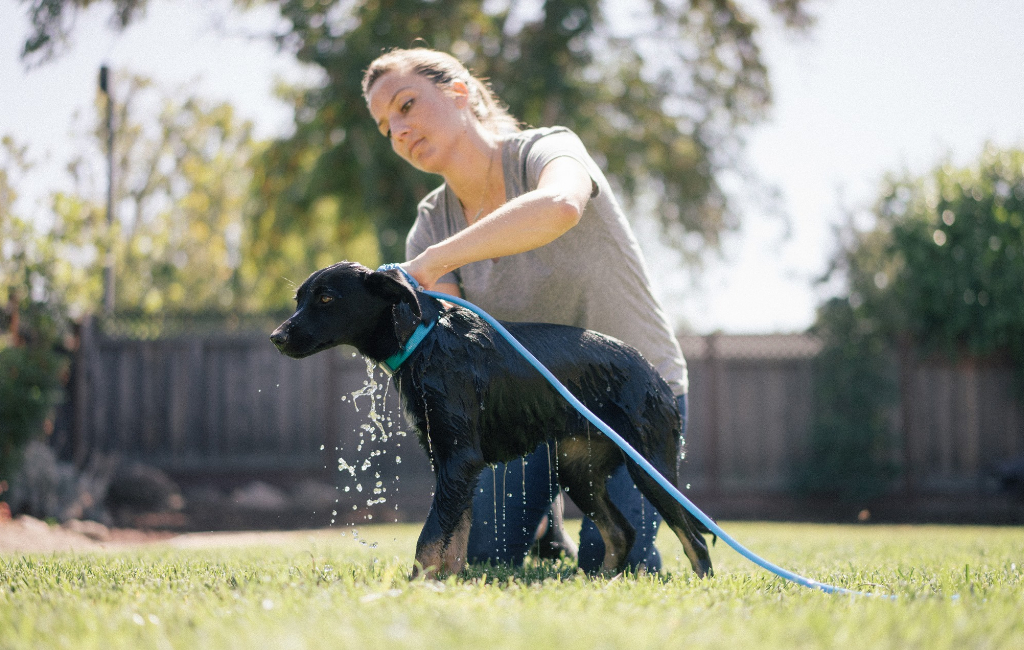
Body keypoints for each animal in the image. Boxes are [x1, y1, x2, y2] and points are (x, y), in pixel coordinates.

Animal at [272, 262, 712, 577]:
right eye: (299, 299)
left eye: (326, 298)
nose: (276, 337)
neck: (426, 340)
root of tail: (655, 376)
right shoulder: (449, 460)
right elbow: (453, 539)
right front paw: (446, 585)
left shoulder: (460, 458)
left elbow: (429, 541)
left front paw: (414, 589)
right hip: (578, 470)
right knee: (622, 532)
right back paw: (599, 582)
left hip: (650, 468)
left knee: (695, 539)